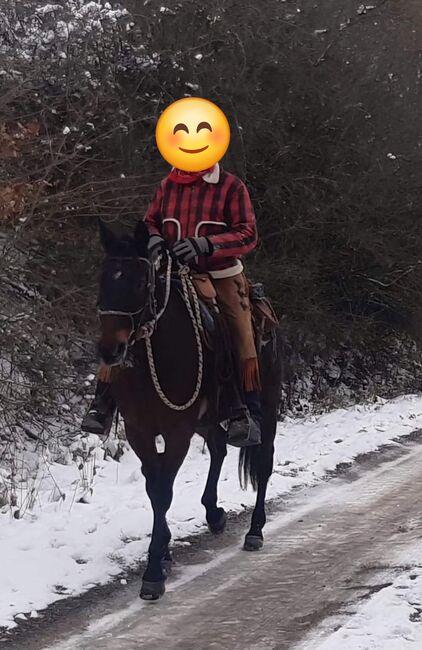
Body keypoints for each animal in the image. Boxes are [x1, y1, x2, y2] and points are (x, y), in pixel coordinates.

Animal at [97, 220, 282, 600]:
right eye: (103, 279)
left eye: (139, 282)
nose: (110, 351)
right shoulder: (139, 430)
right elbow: (154, 486)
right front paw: (164, 551)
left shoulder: (177, 431)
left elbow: (163, 491)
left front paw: (154, 570)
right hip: (208, 420)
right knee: (219, 448)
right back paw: (214, 513)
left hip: (267, 406)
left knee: (264, 463)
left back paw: (254, 531)